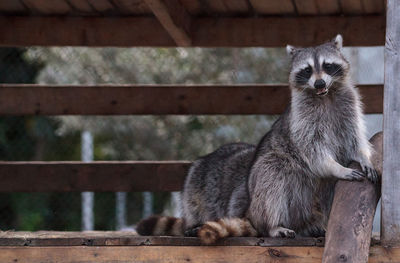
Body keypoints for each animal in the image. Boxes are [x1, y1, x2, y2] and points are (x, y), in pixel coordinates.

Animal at [136, 35, 376, 245]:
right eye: (307, 69)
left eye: (327, 66)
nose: (318, 83)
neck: (326, 96)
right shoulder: (302, 120)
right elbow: (312, 150)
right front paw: (336, 167)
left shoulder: (349, 107)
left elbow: (354, 140)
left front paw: (363, 157)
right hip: (263, 192)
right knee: (272, 173)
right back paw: (273, 225)